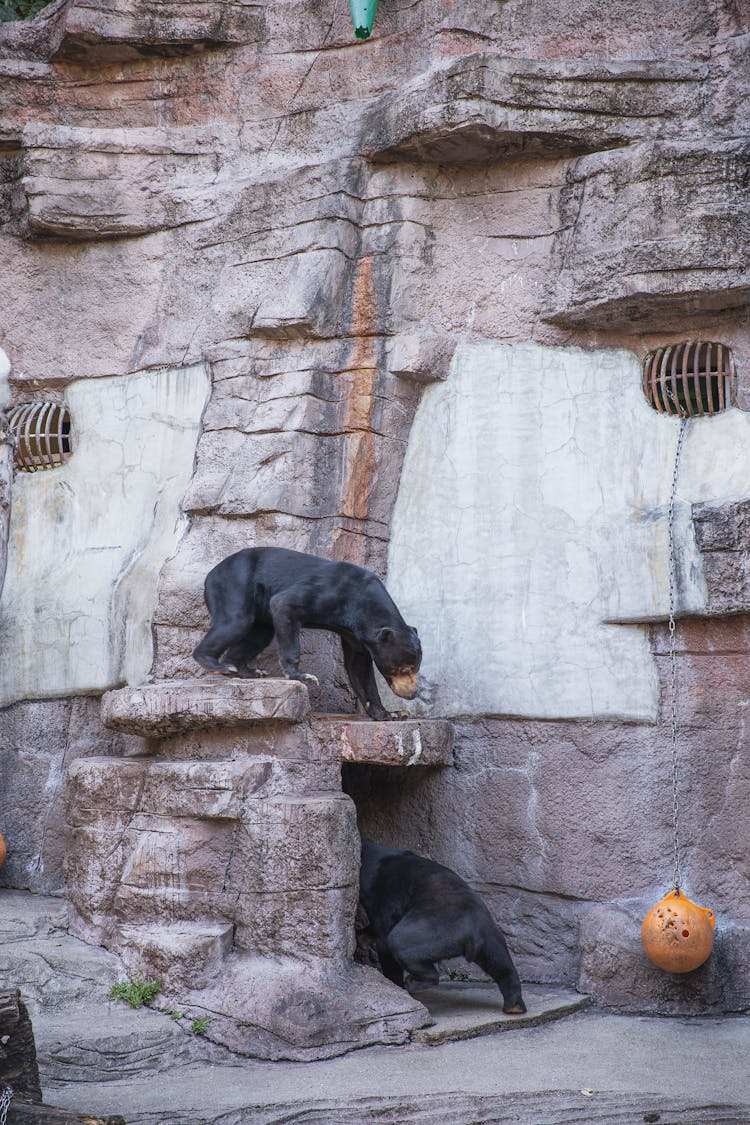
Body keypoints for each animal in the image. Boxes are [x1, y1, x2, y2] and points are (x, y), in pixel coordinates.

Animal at [192, 544, 422, 720]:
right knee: (235, 621)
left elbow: (359, 666)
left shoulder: (356, 634)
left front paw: (390, 713)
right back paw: (216, 664)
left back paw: (245, 670)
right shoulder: (330, 592)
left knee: (259, 635)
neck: (364, 603)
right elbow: (284, 603)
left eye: (415, 668)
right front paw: (303, 676)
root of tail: (211, 572)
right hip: (234, 583)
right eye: (403, 669)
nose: (413, 693)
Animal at [359, 837, 526, 1012]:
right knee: (500, 963)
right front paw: (362, 935)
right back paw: (514, 1005)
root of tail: (472, 932)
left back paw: (413, 983)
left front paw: (395, 985)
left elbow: (384, 937)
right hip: (490, 935)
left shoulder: (384, 898)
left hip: (432, 928)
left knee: (399, 942)